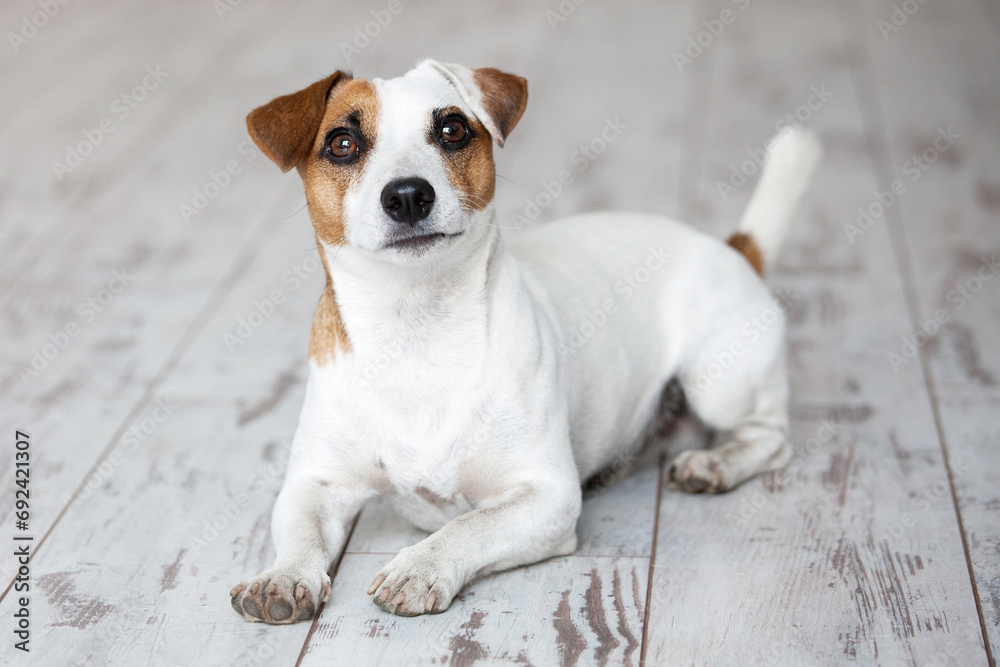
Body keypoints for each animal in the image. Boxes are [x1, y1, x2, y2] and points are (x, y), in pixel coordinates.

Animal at [229, 60, 820, 624]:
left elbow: (470, 525)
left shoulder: (547, 496)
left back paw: (716, 465)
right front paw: (282, 577)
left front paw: (420, 566)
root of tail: (733, 248)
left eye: (452, 130)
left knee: (771, 437)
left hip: (719, 381)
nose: (408, 194)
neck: (415, 328)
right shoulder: (317, 484)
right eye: (342, 143)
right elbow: (299, 530)